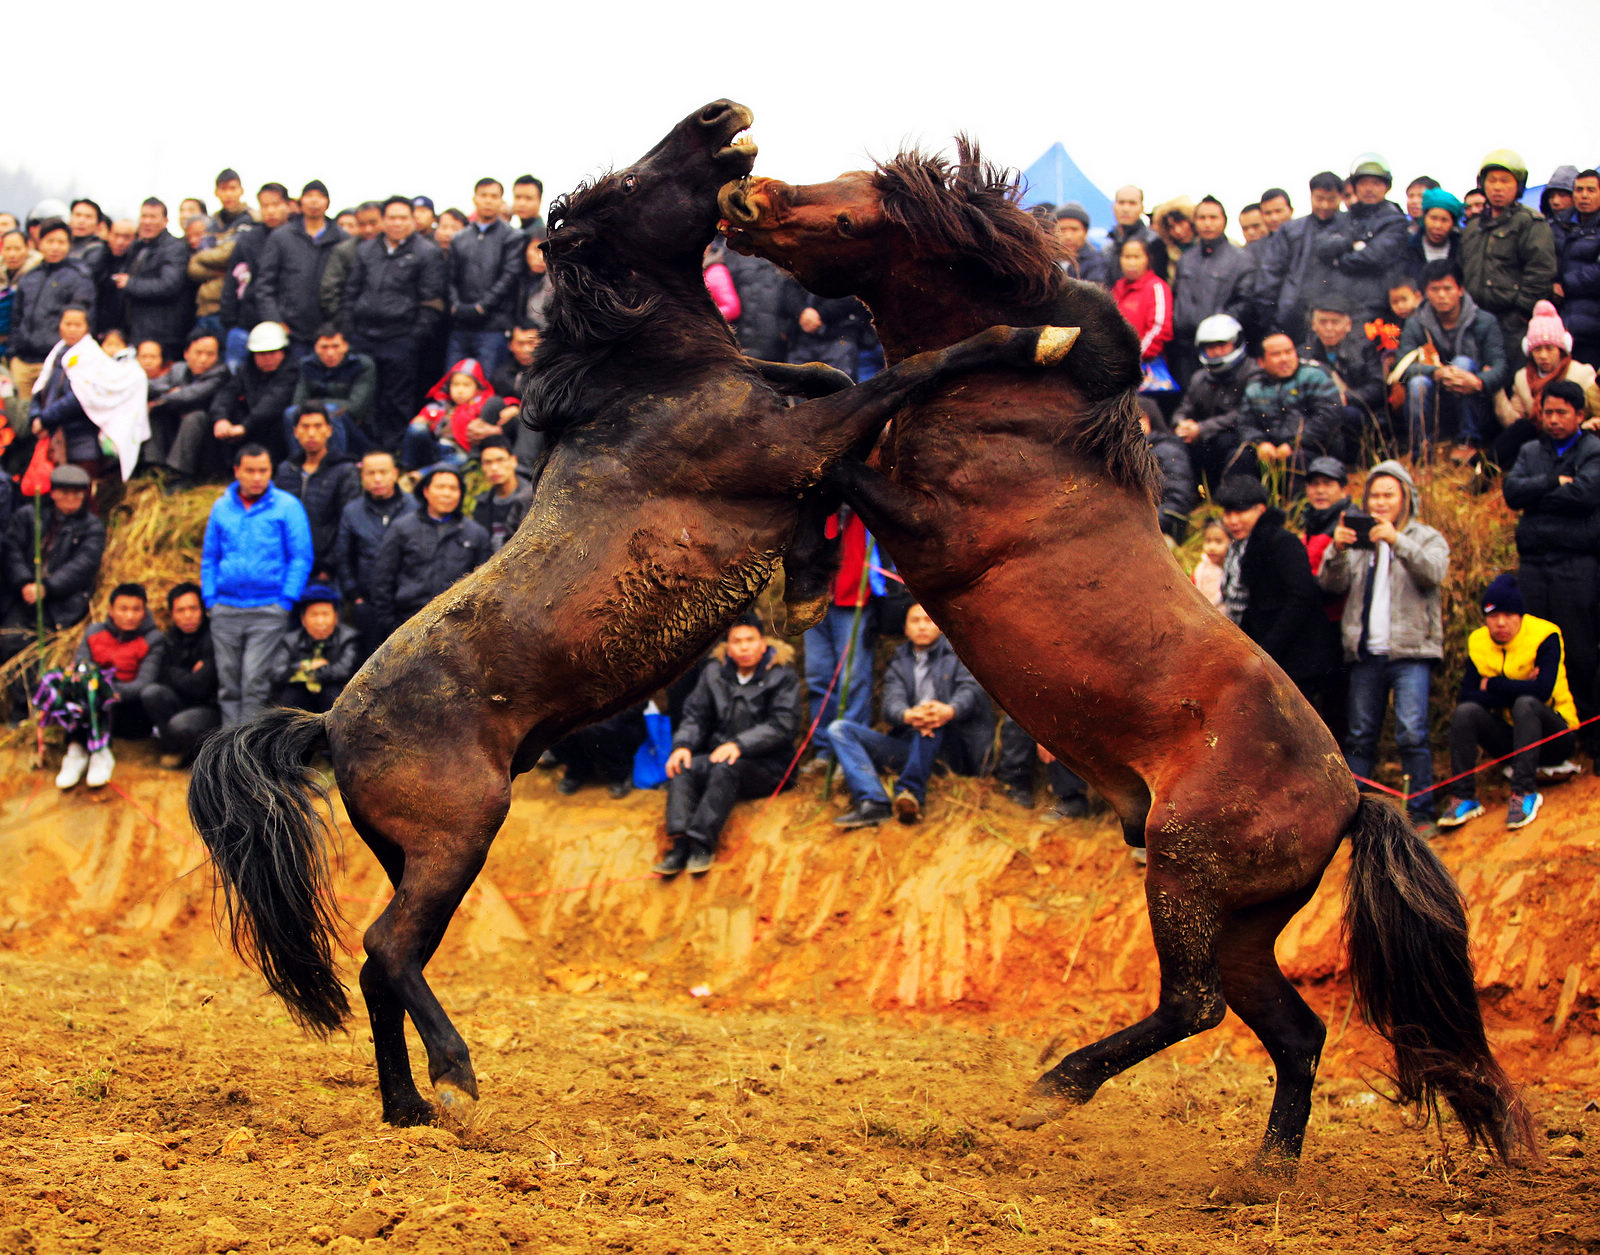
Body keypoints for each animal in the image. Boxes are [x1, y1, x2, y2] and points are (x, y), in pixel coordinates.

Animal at [193, 108, 1081, 1126]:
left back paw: (409, 1106)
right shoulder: (791, 445)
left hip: (410, 851)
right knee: (387, 950)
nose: (720, 117)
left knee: (386, 964)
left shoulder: (792, 417)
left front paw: (816, 570)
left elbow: (822, 369)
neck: (654, 383)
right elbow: (901, 375)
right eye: (624, 186)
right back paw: (453, 1070)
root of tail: (330, 720)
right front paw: (1040, 337)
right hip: (459, 833)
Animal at [720, 142, 1529, 1171]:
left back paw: (1053, 1088)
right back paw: (1263, 1171)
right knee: (1293, 1029)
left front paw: (805, 568)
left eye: (853, 216)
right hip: (1241, 921)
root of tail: (1354, 796)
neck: (1021, 405)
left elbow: (832, 462)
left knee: (1194, 1005)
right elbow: (827, 390)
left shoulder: (932, 534)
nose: (744, 196)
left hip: (1182, 874)